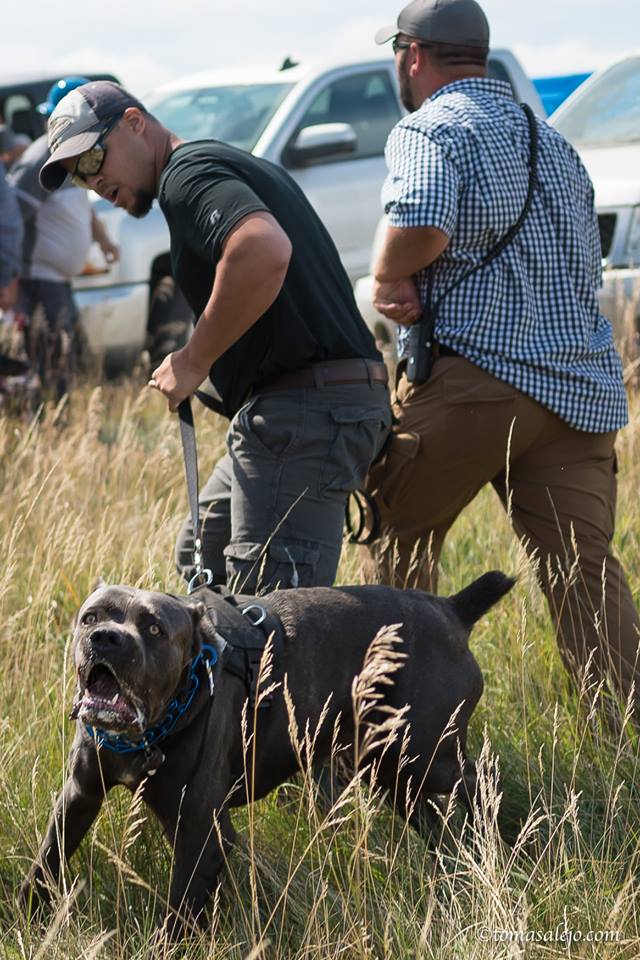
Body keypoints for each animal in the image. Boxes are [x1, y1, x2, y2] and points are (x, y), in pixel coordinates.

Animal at [21, 572, 516, 932]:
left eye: (155, 628)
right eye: (91, 617)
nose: (106, 638)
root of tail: (451, 609)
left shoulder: (201, 827)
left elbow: (180, 906)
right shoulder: (80, 796)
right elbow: (46, 861)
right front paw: (25, 919)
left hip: (426, 757)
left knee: (481, 786)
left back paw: (503, 852)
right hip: (388, 768)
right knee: (435, 822)